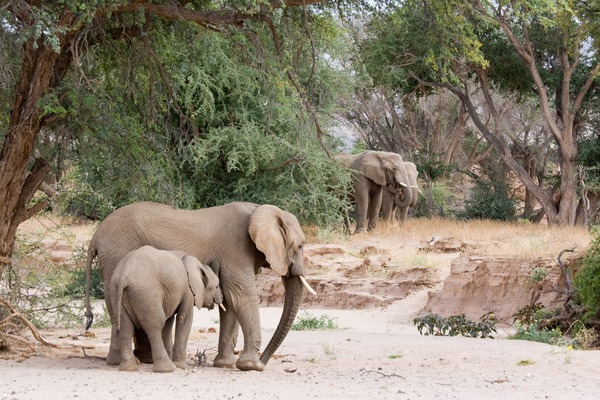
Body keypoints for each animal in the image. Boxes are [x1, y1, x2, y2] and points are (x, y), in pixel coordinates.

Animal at [110, 245, 223, 374]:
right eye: (217, 286)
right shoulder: (188, 290)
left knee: (126, 326)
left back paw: (128, 368)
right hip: (147, 293)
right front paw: (182, 367)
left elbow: (169, 322)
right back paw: (166, 369)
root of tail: (123, 275)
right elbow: (184, 318)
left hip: (116, 291)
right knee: (155, 325)